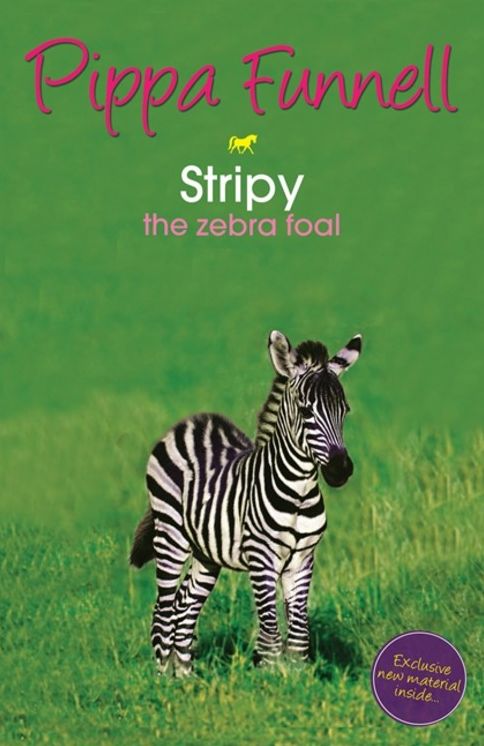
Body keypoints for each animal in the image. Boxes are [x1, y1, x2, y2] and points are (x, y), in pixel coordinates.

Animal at [130, 330, 362, 675]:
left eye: (344, 410)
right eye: (306, 411)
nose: (340, 470)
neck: (299, 492)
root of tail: (191, 422)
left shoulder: (303, 559)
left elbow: (299, 634)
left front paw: (297, 678)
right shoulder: (261, 557)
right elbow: (270, 630)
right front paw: (271, 677)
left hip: (206, 553)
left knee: (185, 605)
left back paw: (185, 677)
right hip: (171, 536)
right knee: (164, 608)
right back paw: (162, 678)